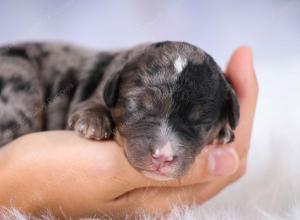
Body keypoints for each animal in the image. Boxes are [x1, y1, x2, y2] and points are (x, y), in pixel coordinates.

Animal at [0, 40, 239, 180]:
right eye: (138, 105)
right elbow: (90, 104)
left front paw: (223, 131)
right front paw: (93, 121)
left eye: (200, 122)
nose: (163, 157)